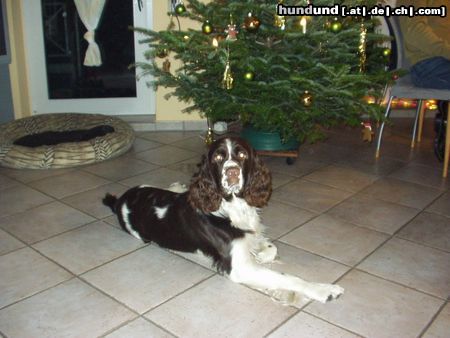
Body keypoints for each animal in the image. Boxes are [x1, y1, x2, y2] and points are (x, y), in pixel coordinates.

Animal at [103, 137, 344, 304]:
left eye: (242, 155)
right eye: (218, 158)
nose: (232, 173)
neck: (232, 207)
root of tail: (121, 200)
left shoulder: (252, 234)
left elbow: (270, 247)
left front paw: (263, 255)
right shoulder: (239, 267)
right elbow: (288, 278)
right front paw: (324, 290)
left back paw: (178, 186)